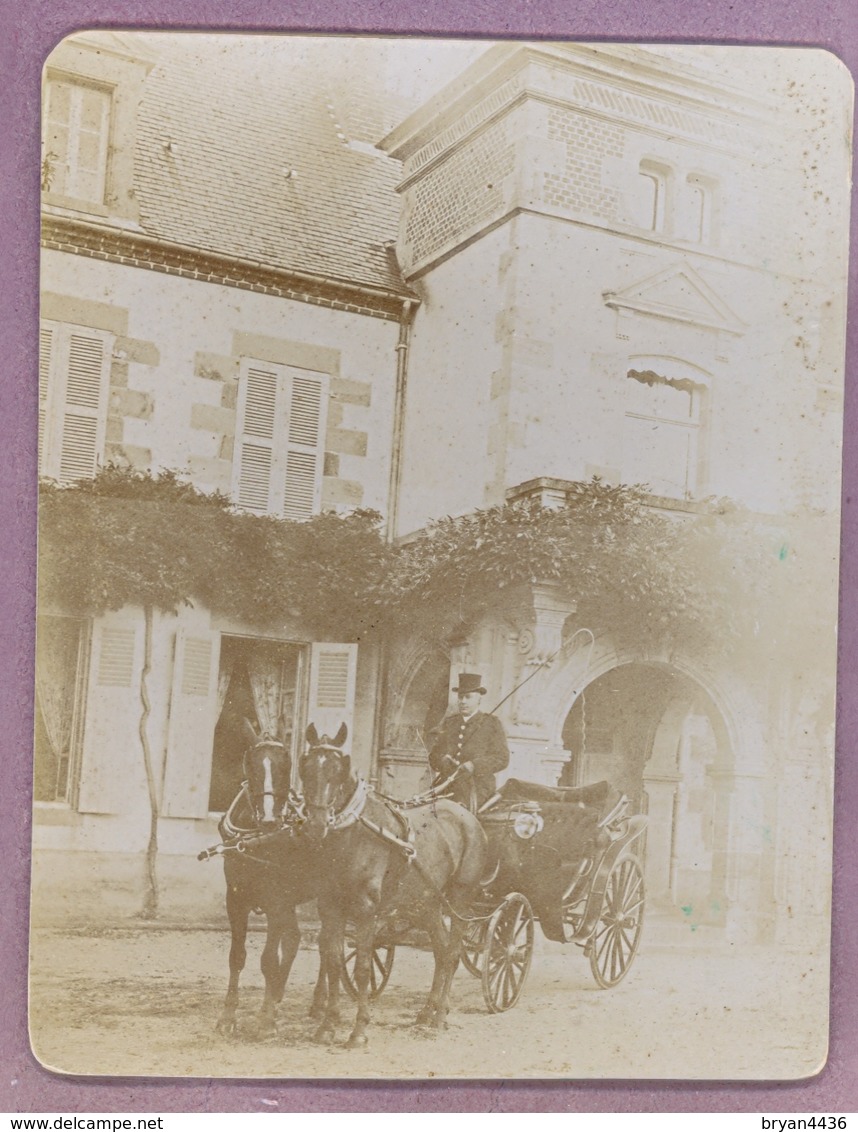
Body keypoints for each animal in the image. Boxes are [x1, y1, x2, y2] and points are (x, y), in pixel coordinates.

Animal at [216, 719, 321, 1036]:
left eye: (286, 763)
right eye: (251, 763)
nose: (271, 820)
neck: (256, 838)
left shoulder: (276, 901)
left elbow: (267, 960)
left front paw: (265, 1018)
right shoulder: (235, 899)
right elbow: (237, 957)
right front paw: (228, 1016)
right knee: (296, 939)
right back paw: (279, 996)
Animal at [298, 724, 486, 1041]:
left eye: (338, 769)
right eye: (306, 767)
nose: (316, 824)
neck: (353, 835)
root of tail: (467, 814)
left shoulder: (366, 910)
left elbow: (362, 967)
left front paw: (359, 1030)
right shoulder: (330, 906)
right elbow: (333, 960)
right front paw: (328, 1024)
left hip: (460, 899)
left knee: (452, 954)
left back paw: (440, 1016)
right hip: (428, 902)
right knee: (440, 950)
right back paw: (427, 1011)